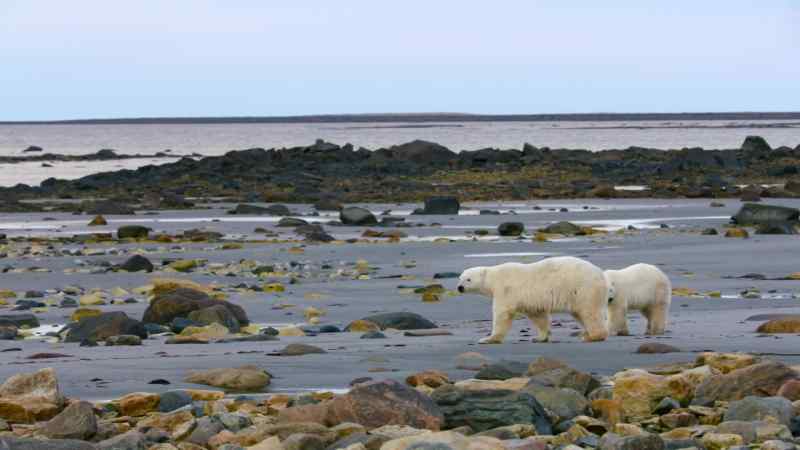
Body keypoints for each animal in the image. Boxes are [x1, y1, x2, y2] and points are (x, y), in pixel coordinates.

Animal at [457, 256, 609, 344]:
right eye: (460, 278)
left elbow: (503, 314)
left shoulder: (505, 290)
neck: (493, 277)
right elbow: (538, 315)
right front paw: (539, 337)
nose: (459, 287)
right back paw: (587, 333)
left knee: (590, 313)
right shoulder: (530, 300)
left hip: (583, 289)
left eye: (468, 279)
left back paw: (592, 336)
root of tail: (601, 274)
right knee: (580, 313)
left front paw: (488, 338)